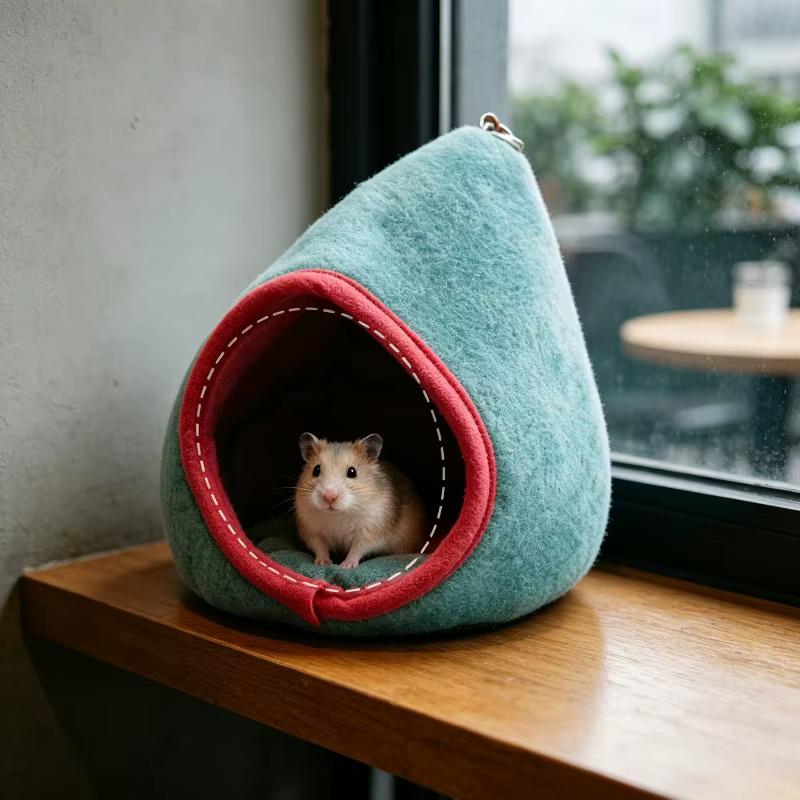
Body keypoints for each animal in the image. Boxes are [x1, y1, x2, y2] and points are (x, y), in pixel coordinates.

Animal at [294, 432, 427, 568]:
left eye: (352, 472)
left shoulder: (369, 532)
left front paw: (346, 565)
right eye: (316, 470)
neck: (338, 514)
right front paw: (323, 563)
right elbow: (320, 547)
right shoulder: (312, 532)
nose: (329, 496)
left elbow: (357, 549)